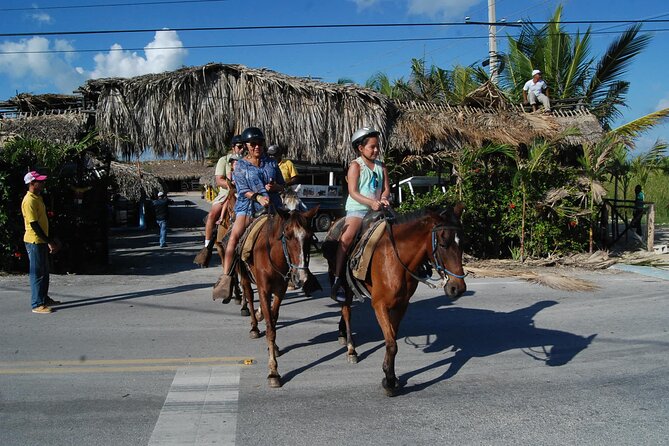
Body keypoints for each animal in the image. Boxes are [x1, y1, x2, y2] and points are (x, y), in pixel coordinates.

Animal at [239, 206, 320, 386]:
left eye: (309, 237)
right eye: (287, 236)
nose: (301, 277)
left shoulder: (279, 290)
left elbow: (274, 319)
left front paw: (274, 348)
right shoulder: (263, 289)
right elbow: (270, 328)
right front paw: (273, 372)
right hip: (245, 278)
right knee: (249, 296)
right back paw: (254, 326)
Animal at [322, 204, 468, 396]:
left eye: (462, 244)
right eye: (443, 244)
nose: (458, 288)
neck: (395, 258)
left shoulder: (401, 304)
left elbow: (392, 338)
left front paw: (390, 375)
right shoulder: (379, 304)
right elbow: (391, 344)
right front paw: (390, 381)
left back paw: (342, 334)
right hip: (344, 285)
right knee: (346, 311)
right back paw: (351, 349)